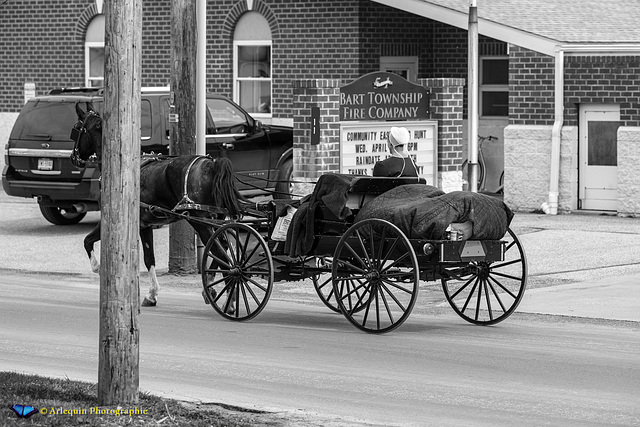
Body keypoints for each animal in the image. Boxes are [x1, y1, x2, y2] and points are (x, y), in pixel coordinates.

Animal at [71, 105, 242, 310]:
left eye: (77, 128)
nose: (73, 157)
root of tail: (212, 163)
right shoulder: (146, 226)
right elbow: (149, 258)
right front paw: (152, 295)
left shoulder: (117, 222)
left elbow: (87, 241)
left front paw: (97, 267)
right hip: (215, 220)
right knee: (221, 249)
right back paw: (216, 292)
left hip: (200, 221)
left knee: (219, 253)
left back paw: (228, 298)